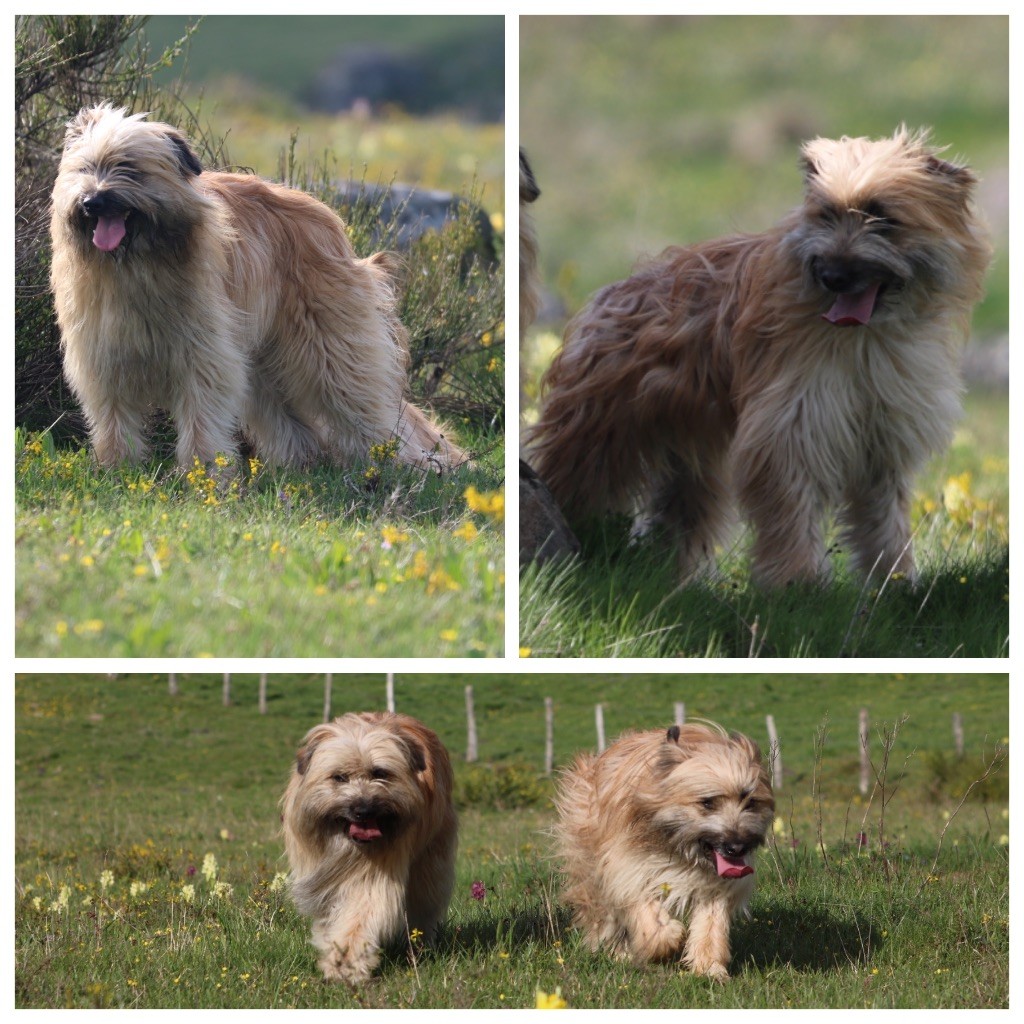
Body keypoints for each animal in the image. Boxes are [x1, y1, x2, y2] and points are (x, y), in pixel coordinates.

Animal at [51, 103, 460, 471]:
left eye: (129, 168)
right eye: (86, 168)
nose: (92, 201)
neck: (137, 262)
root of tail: (331, 223)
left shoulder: (204, 355)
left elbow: (202, 416)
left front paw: (204, 475)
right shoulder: (103, 356)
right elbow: (113, 418)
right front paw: (116, 469)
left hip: (331, 349)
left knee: (367, 407)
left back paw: (406, 464)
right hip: (264, 360)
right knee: (289, 419)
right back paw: (300, 465)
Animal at [280, 712, 456, 983]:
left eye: (379, 773)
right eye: (339, 777)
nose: (363, 810)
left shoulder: (374, 875)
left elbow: (361, 914)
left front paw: (345, 963)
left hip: (431, 862)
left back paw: (420, 946)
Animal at [524, 130, 987, 585]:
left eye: (882, 217)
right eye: (826, 215)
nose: (832, 275)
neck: (865, 337)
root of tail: (614, 293)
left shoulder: (882, 435)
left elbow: (883, 516)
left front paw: (894, 579)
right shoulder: (791, 424)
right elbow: (790, 503)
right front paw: (797, 580)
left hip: (687, 452)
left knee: (682, 510)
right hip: (600, 431)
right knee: (576, 479)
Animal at [557, 724, 770, 978]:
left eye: (750, 802)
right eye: (707, 802)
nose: (737, 847)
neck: (676, 846)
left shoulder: (714, 885)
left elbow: (711, 924)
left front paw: (709, 967)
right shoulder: (628, 868)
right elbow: (646, 912)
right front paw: (666, 940)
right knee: (603, 912)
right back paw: (616, 951)